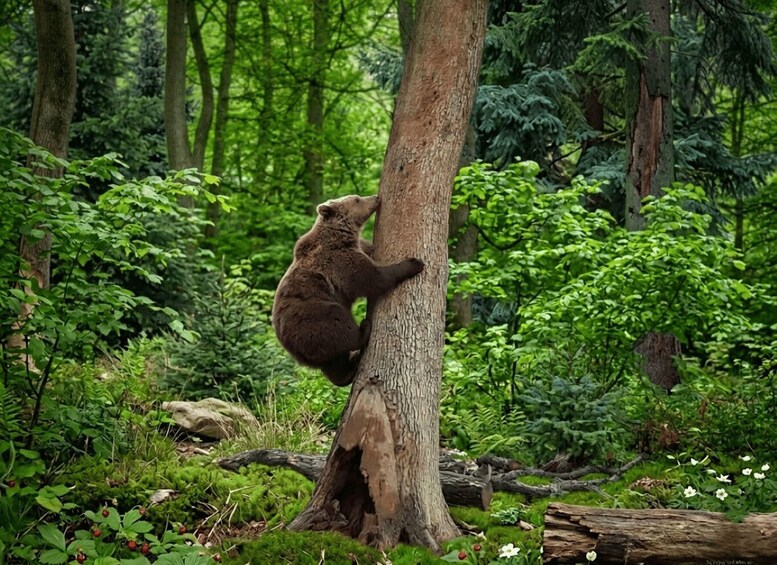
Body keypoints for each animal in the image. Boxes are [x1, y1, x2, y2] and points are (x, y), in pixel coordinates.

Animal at [272, 194, 424, 386]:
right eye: (357, 199)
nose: (376, 197)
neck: (341, 235)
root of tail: (294, 351)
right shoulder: (339, 260)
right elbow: (373, 279)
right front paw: (414, 263)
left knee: (335, 363)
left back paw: (349, 370)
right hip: (313, 317)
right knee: (339, 327)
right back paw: (363, 330)